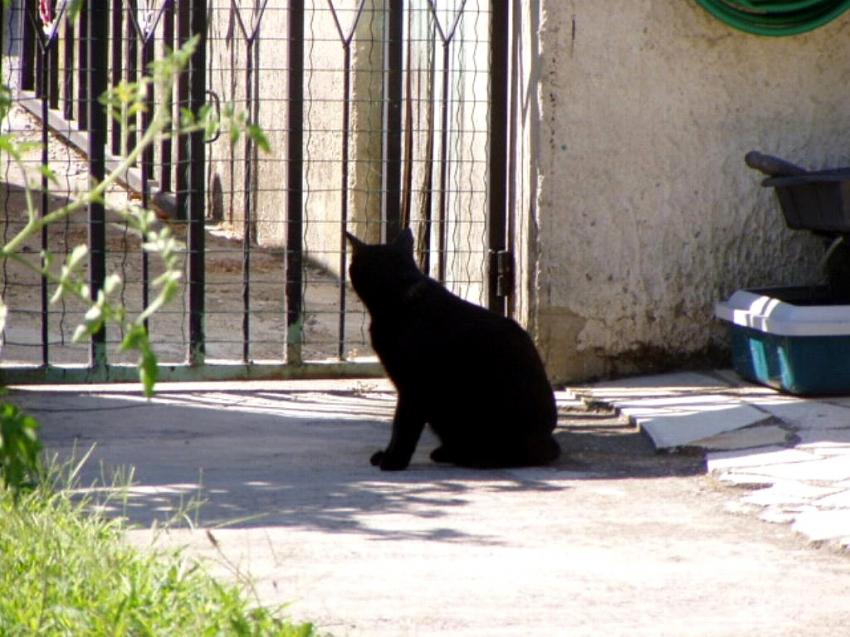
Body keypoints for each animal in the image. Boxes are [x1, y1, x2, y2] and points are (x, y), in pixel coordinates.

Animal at [344, 229, 556, 468]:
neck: (401, 299)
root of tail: (549, 438)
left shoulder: (414, 388)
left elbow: (402, 426)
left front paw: (394, 460)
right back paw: (448, 452)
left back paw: (476, 458)